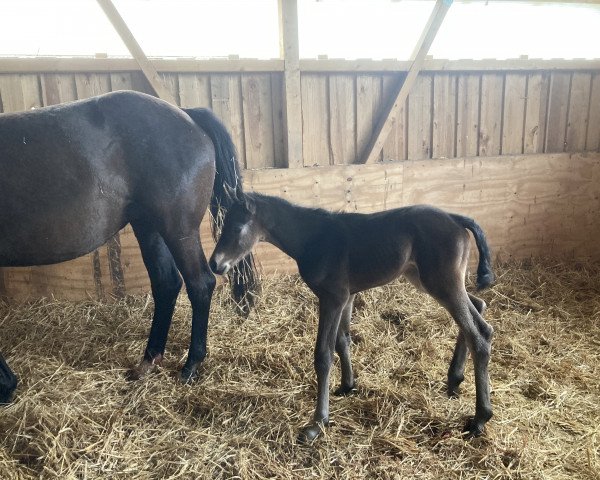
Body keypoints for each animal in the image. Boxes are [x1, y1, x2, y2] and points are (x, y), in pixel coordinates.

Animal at [209, 189, 494, 444]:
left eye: (237, 228)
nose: (215, 264)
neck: (313, 237)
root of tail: (456, 218)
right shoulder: (346, 297)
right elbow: (342, 339)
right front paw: (348, 385)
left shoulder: (332, 297)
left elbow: (323, 354)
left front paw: (317, 423)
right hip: (429, 280)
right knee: (477, 307)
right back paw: (454, 380)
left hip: (441, 282)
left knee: (479, 332)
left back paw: (479, 418)